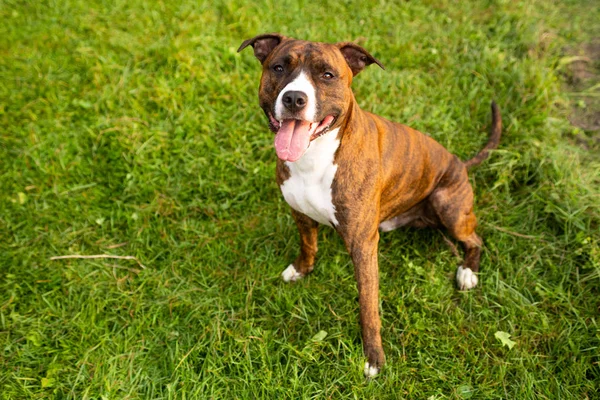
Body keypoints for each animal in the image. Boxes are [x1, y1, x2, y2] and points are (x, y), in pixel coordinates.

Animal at [237, 32, 500, 376]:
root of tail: (460, 163)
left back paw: (468, 272)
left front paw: (374, 357)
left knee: (475, 239)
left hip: (448, 205)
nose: (294, 98)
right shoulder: (300, 214)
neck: (315, 155)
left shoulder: (362, 244)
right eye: (278, 67)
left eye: (327, 75)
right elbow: (308, 245)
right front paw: (301, 269)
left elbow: (368, 305)